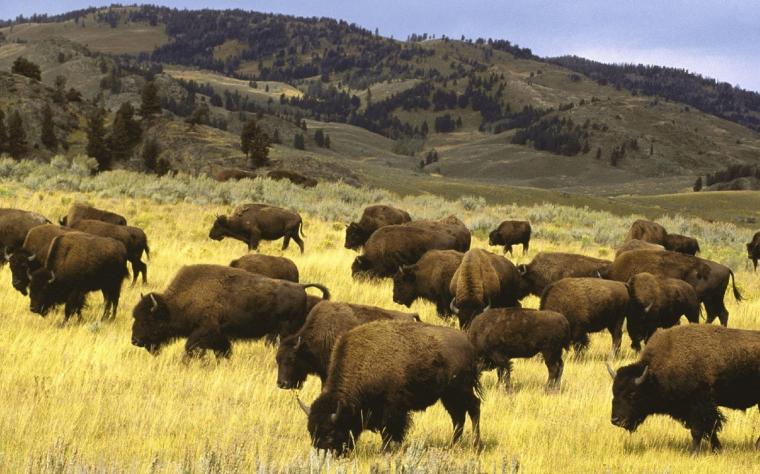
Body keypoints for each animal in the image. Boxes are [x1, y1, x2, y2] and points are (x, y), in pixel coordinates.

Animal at [131, 264, 329, 356]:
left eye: (148, 320)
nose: (135, 340)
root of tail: (301, 287)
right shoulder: (220, 336)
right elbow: (223, 351)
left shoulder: (204, 331)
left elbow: (191, 348)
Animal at [299, 320, 481, 455]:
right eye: (311, 432)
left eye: (330, 433)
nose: (322, 454)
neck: (364, 363)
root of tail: (468, 343)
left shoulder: (391, 408)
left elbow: (388, 430)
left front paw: (385, 451)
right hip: (448, 396)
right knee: (458, 417)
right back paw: (453, 445)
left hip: (460, 390)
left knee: (474, 408)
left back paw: (476, 445)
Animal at [607, 325, 760, 453]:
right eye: (614, 392)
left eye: (632, 394)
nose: (616, 420)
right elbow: (709, 429)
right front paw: (717, 449)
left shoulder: (700, 405)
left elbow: (699, 430)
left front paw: (694, 453)